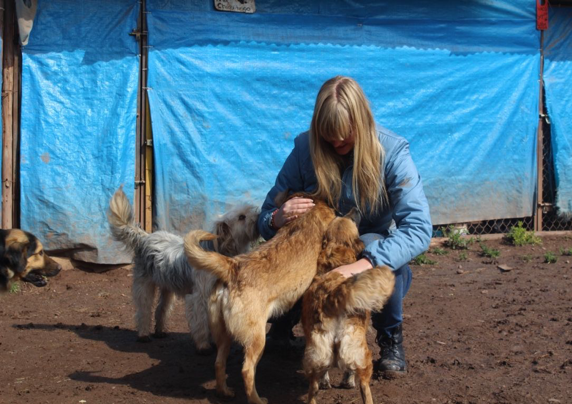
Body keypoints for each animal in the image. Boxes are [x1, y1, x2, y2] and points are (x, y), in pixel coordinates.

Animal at [108, 186, 260, 348]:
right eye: (242, 217)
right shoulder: (199, 297)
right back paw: (143, 334)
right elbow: (201, 323)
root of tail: (145, 237)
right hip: (144, 285)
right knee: (144, 311)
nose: (259, 216)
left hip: (168, 288)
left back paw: (160, 331)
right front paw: (204, 345)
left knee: (161, 309)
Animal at [183, 197, 338, 404]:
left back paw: (224, 392)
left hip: (224, 336)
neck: (306, 217)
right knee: (247, 371)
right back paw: (257, 400)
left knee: (219, 363)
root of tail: (233, 268)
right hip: (257, 340)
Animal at [302, 215, 396, 404]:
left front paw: (326, 382)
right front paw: (348, 382)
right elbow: (350, 371)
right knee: (364, 387)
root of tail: (332, 295)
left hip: (316, 354)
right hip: (361, 354)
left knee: (313, 388)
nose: (355, 211)